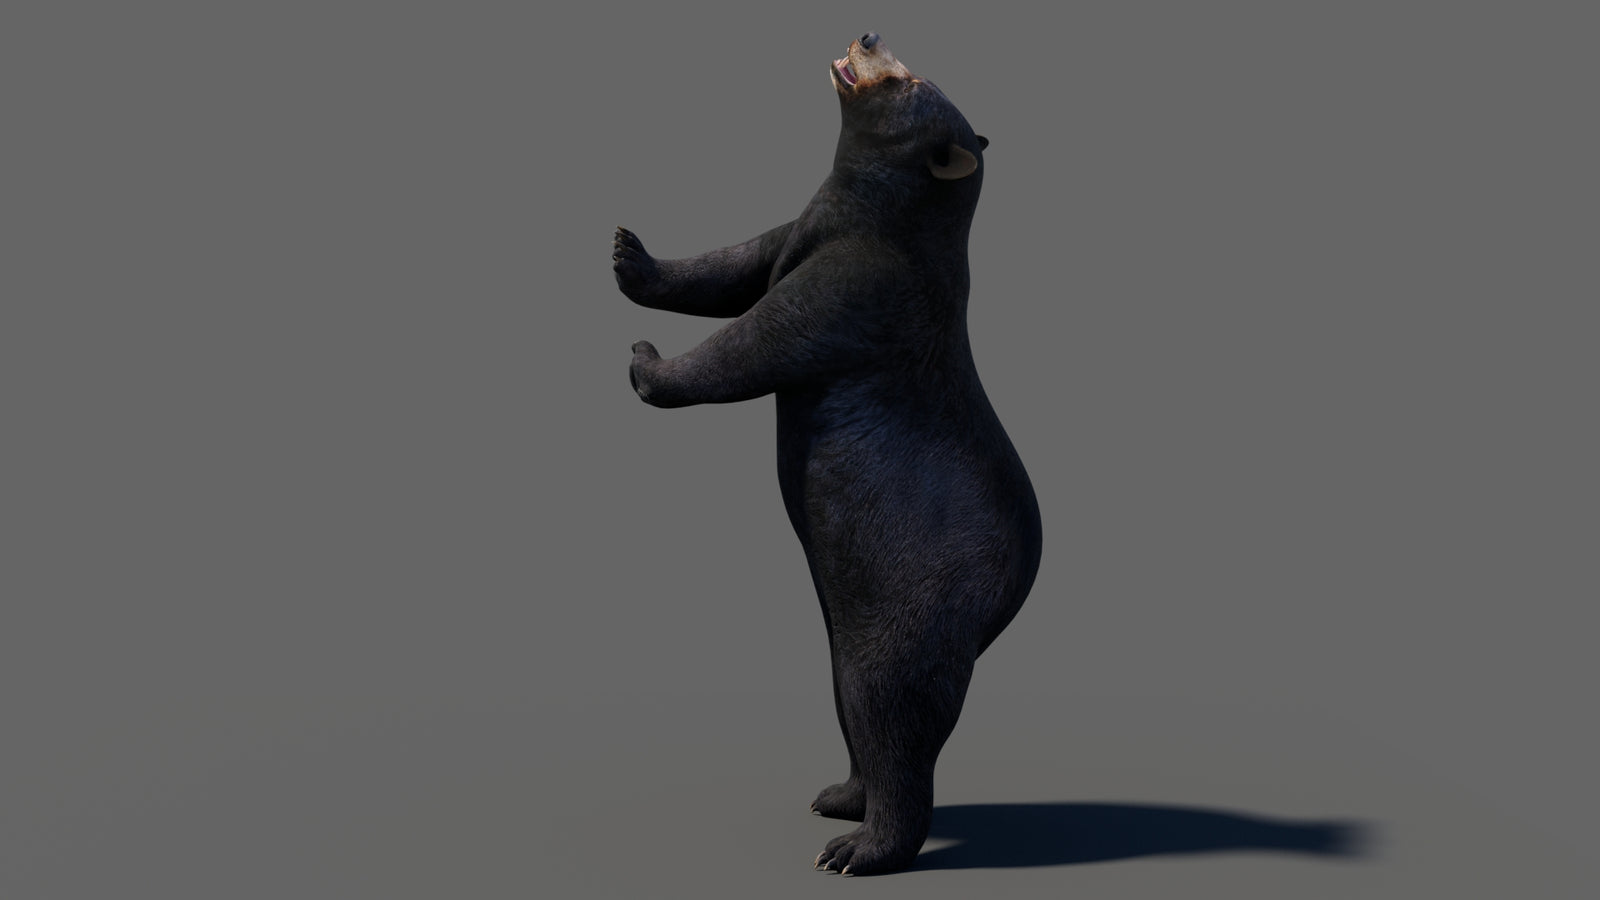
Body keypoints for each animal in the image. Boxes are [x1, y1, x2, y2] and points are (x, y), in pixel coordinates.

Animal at [612, 32, 1041, 876]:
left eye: (906, 81)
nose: (869, 35)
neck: (875, 211)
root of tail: (1008, 602)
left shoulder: (867, 282)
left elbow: (761, 337)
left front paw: (647, 363)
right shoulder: (803, 229)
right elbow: (738, 263)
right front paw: (628, 252)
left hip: (916, 598)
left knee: (890, 705)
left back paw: (859, 847)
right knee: (852, 700)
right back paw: (839, 796)